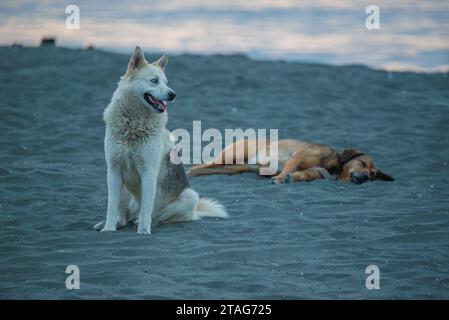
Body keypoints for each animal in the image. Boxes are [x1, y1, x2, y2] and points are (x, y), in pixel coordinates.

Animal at [94, 46, 228, 234]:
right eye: (154, 81)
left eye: (166, 82)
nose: (173, 94)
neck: (134, 123)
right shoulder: (113, 171)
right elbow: (111, 207)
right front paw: (108, 228)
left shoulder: (148, 172)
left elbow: (146, 208)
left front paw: (143, 231)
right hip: (124, 188)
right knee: (125, 216)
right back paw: (117, 222)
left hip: (189, 196)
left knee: (158, 215)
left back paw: (144, 222)